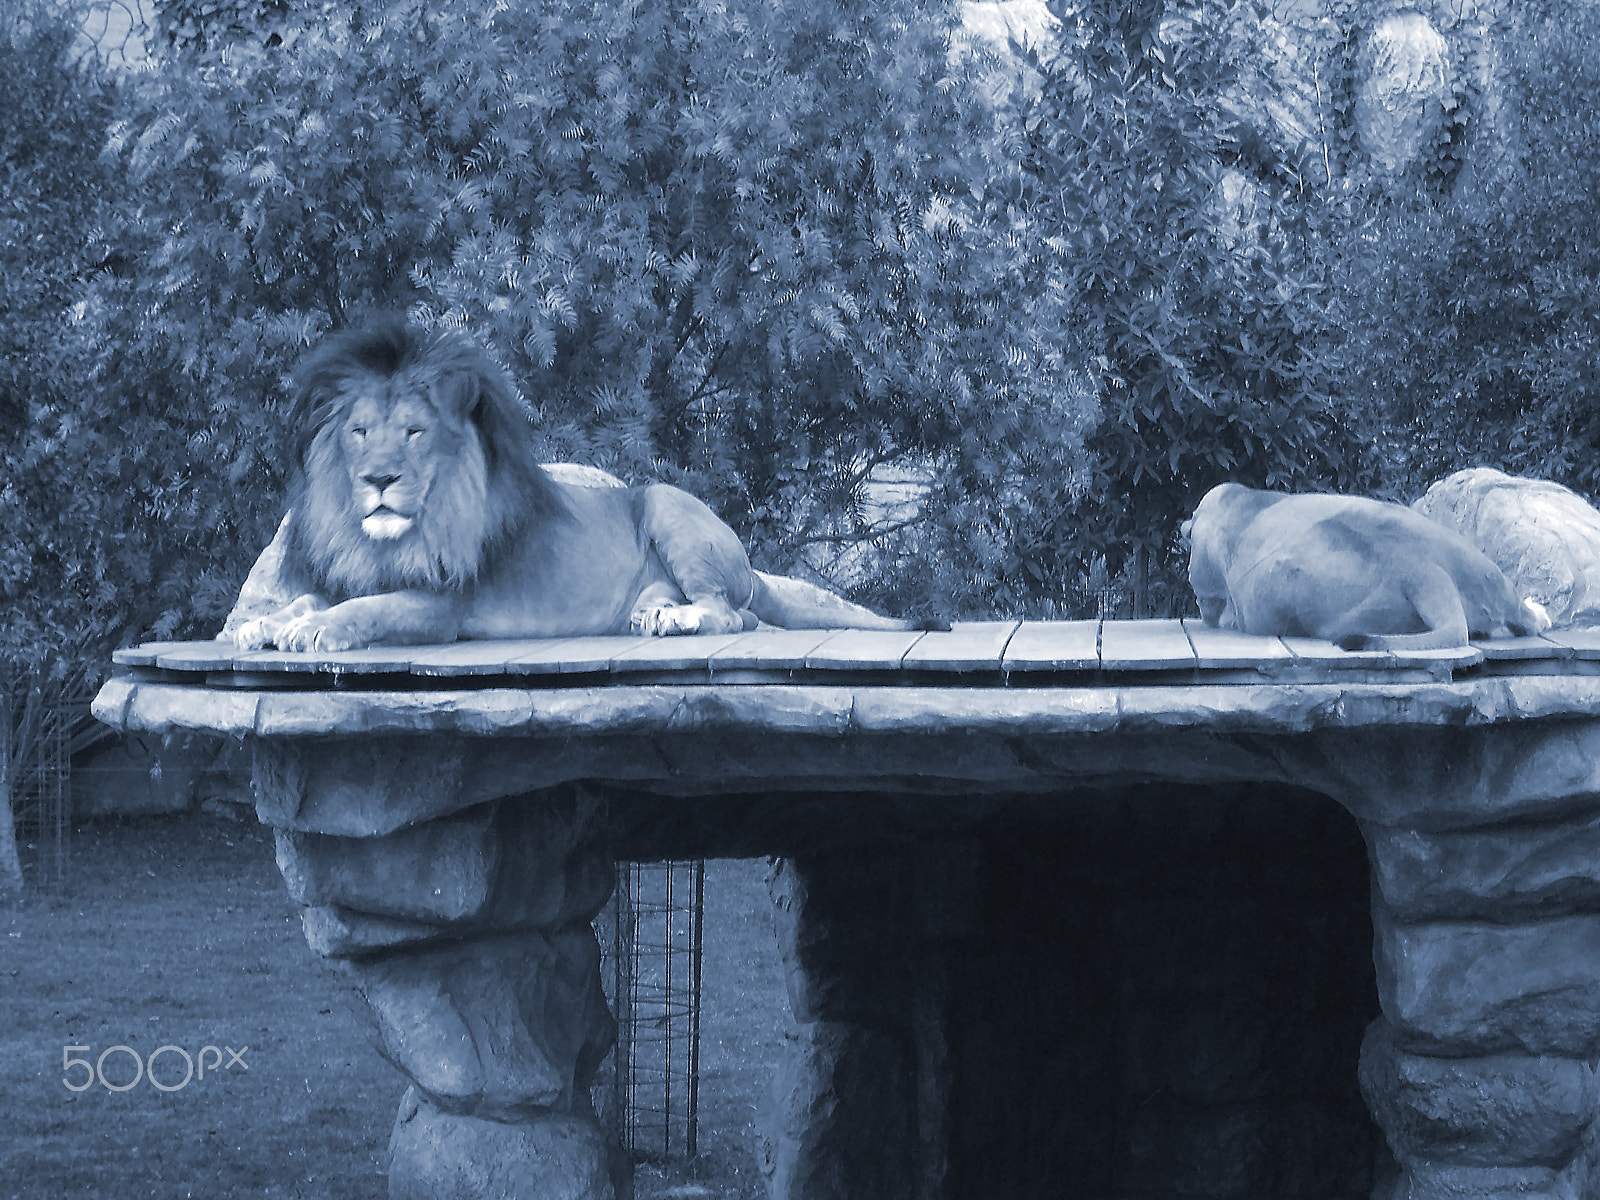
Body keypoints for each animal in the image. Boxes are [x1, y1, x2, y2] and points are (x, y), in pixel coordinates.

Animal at [227, 318, 929, 653]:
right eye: (360, 432)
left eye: (414, 433)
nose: (378, 479)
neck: (388, 537)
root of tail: (752, 569)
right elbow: (308, 599)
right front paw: (262, 626)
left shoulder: (440, 606)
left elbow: (363, 610)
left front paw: (314, 630)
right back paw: (654, 612)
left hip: (662, 499)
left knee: (733, 614)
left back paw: (677, 617)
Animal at [1183, 482, 1550, 650]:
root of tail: (1422, 569)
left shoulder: (1207, 583)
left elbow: (1213, 608)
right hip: (1482, 569)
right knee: (1521, 616)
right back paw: (1537, 614)